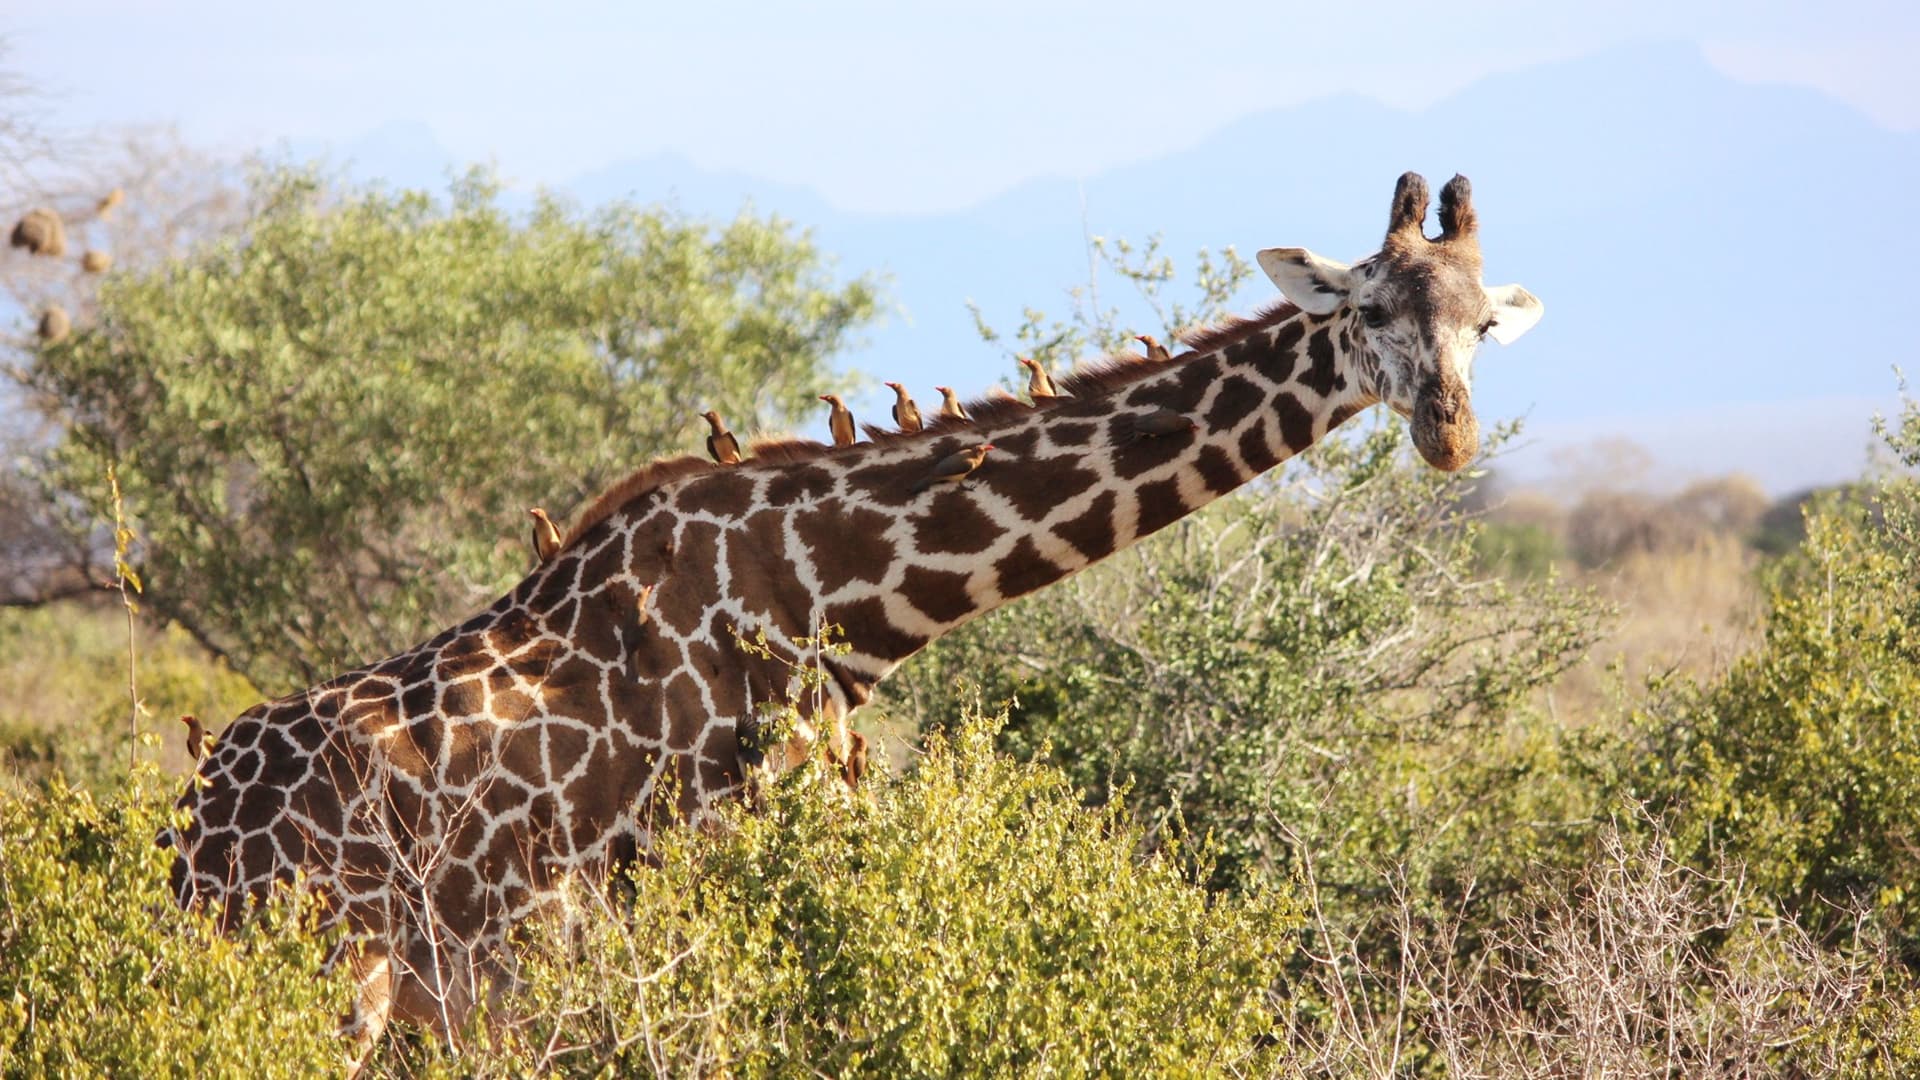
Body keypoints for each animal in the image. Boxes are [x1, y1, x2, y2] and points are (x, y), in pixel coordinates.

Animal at [163, 171, 1542, 1048]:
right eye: (1367, 309)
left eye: (1486, 324)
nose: (1449, 434)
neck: (847, 595)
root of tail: (191, 836)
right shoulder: (712, 891)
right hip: (330, 985)